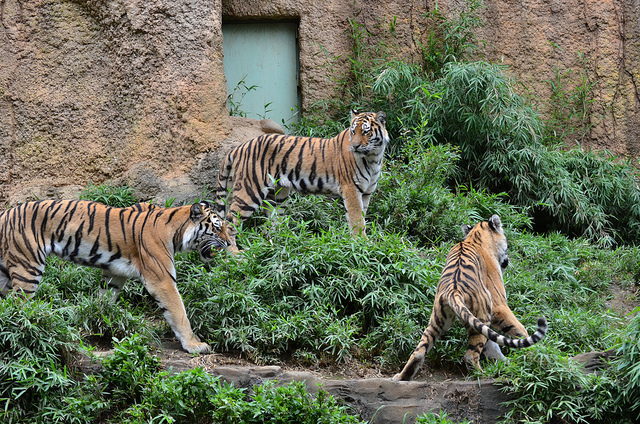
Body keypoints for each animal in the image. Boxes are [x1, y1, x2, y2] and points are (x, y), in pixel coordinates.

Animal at [0, 199, 230, 354]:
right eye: (217, 228)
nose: (229, 242)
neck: (177, 233)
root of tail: (5, 213)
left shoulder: (114, 274)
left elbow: (103, 303)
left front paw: (99, 328)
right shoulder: (161, 280)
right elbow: (179, 313)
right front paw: (195, 345)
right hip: (28, 267)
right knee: (17, 306)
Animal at [215, 109, 390, 250]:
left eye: (366, 132)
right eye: (353, 132)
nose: (354, 146)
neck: (373, 157)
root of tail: (240, 147)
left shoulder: (366, 192)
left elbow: (362, 215)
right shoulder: (351, 189)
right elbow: (357, 219)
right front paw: (362, 243)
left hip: (277, 196)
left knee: (270, 224)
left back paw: (280, 246)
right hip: (250, 191)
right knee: (228, 224)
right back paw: (236, 256)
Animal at [392, 214, 548, 382]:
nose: (508, 260)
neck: (475, 237)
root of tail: (452, 291)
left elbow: (492, 344)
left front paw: (508, 363)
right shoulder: (498, 306)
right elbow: (519, 330)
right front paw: (533, 352)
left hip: (437, 320)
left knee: (419, 352)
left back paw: (401, 377)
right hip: (481, 314)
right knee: (470, 356)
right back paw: (485, 375)